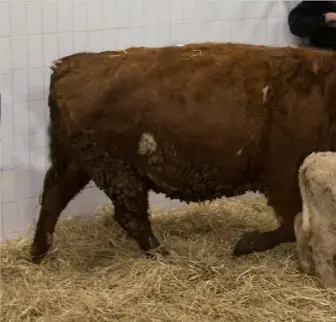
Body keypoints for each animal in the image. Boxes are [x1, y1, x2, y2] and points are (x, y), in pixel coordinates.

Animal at [30, 42, 336, 264]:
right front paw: (243, 245)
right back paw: (164, 255)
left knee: (53, 197)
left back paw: (37, 253)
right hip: (115, 171)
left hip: (79, 164)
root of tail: (69, 65)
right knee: (129, 215)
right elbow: (293, 225)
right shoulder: (284, 177)